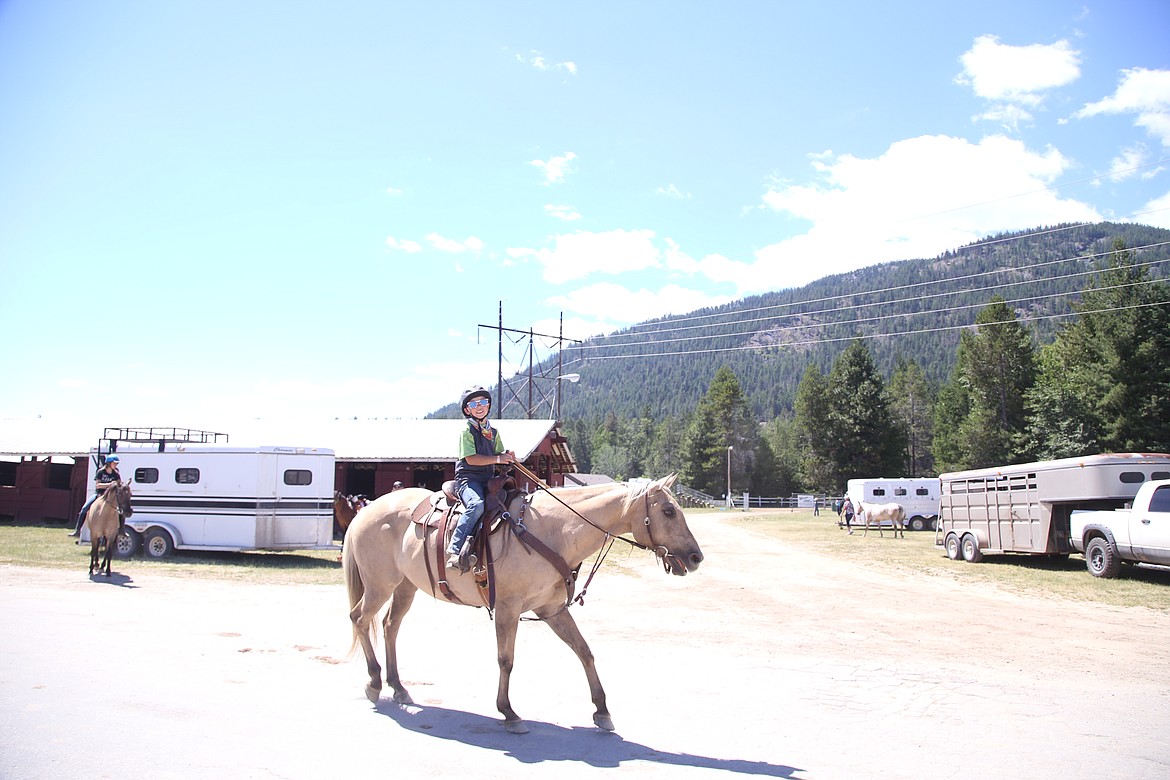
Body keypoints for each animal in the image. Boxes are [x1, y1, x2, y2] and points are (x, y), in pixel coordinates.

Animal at [341, 472, 702, 734]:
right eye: (668, 511)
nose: (696, 557)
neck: (552, 530)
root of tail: (366, 511)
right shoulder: (508, 608)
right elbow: (506, 660)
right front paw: (509, 712)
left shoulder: (551, 610)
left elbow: (584, 651)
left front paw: (602, 710)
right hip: (379, 584)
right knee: (359, 618)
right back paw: (374, 682)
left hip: (404, 586)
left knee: (389, 625)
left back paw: (398, 687)